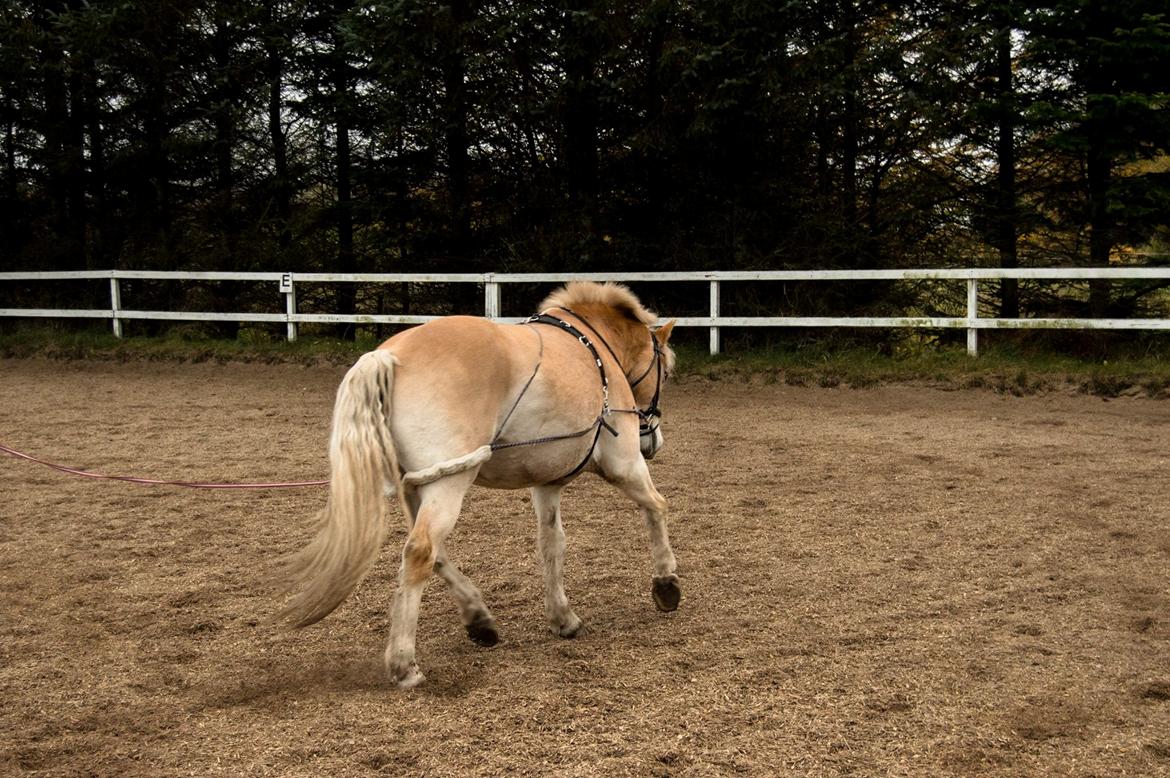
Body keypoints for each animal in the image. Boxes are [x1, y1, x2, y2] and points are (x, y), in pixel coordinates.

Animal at [279, 279, 683, 687]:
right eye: (664, 372)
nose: (654, 441)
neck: (596, 348)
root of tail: (389, 356)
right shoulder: (623, 463)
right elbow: (657, 506)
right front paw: (666, 584)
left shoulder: (547, 483)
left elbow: (552, 544)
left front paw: (562, 617)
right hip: (449, 482)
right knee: (421, 552)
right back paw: (404, 664)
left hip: (417, 487)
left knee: (434, 554)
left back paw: (479, 619)